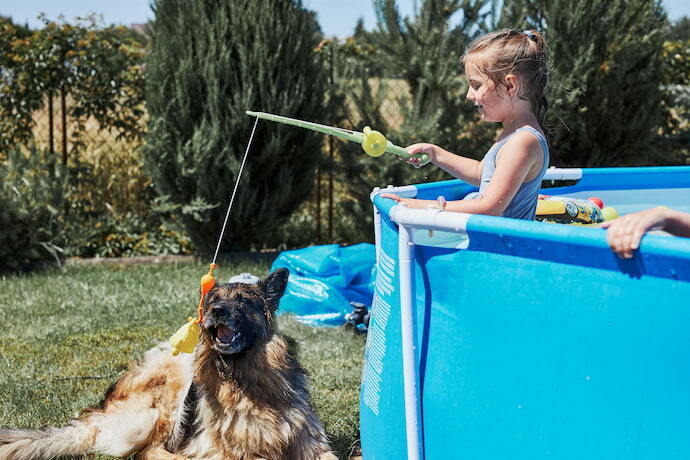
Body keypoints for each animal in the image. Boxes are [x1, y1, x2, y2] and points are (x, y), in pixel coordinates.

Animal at [0, 268, 336, 458]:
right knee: (149, 452)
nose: (216, 311)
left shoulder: (313, 446)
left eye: (242, 300)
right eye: (214, 299)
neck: (244, 380)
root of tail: (100, 410)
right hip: (167, 394)